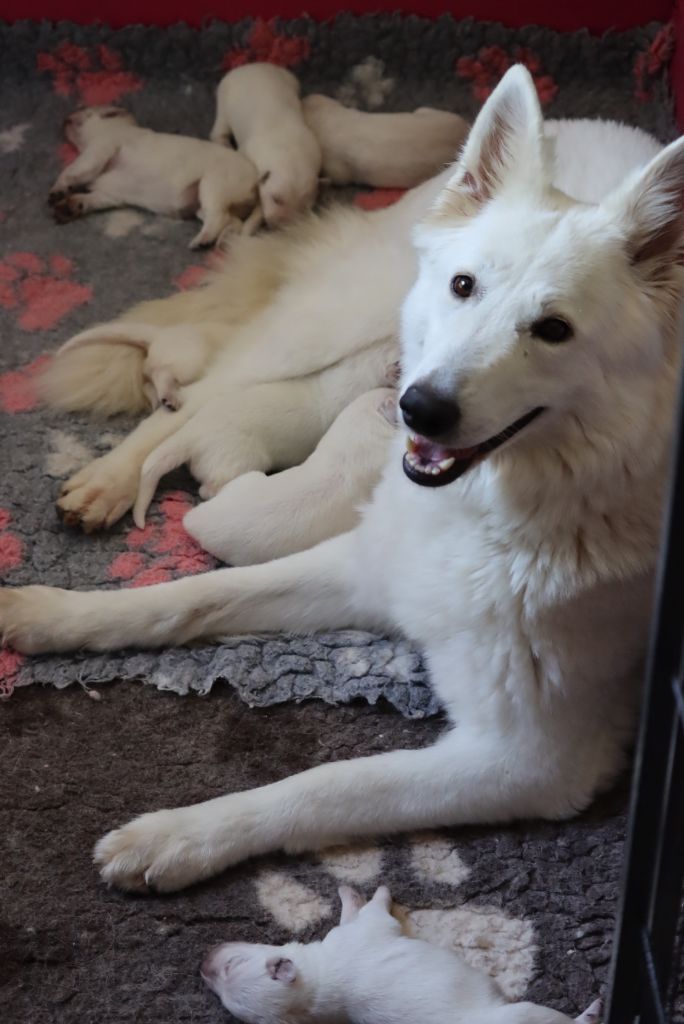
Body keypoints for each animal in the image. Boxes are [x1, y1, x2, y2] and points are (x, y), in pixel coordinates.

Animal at [50, 106, 262, 247]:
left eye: (85, 111)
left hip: (213, 185)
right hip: (205, 205)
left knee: (218, 216)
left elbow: (73, 171)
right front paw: (71, 206)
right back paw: (224, 240)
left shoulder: (99, 149)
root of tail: (256, 184)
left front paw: (57, 191)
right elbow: (90, 198)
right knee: (232, 221)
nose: (64, 119)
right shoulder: (108, 195)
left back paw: (203, 239)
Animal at [200, 880, 602, 1024]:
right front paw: (376, 890)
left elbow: (350, 913)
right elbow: (375, 908)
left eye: (231, 963)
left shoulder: (348, 934)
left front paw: (347, 891)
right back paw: (592, 1012)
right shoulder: (369, 931)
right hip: (525, 1015)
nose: (202, 963)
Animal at [210, 62, 323, 227]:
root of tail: (249, 66)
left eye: (305, 207)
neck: (289, 152)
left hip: (290, 79)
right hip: (223, 103)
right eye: (276, 199)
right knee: (219, 130)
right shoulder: (247, 153)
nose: (282, 227)